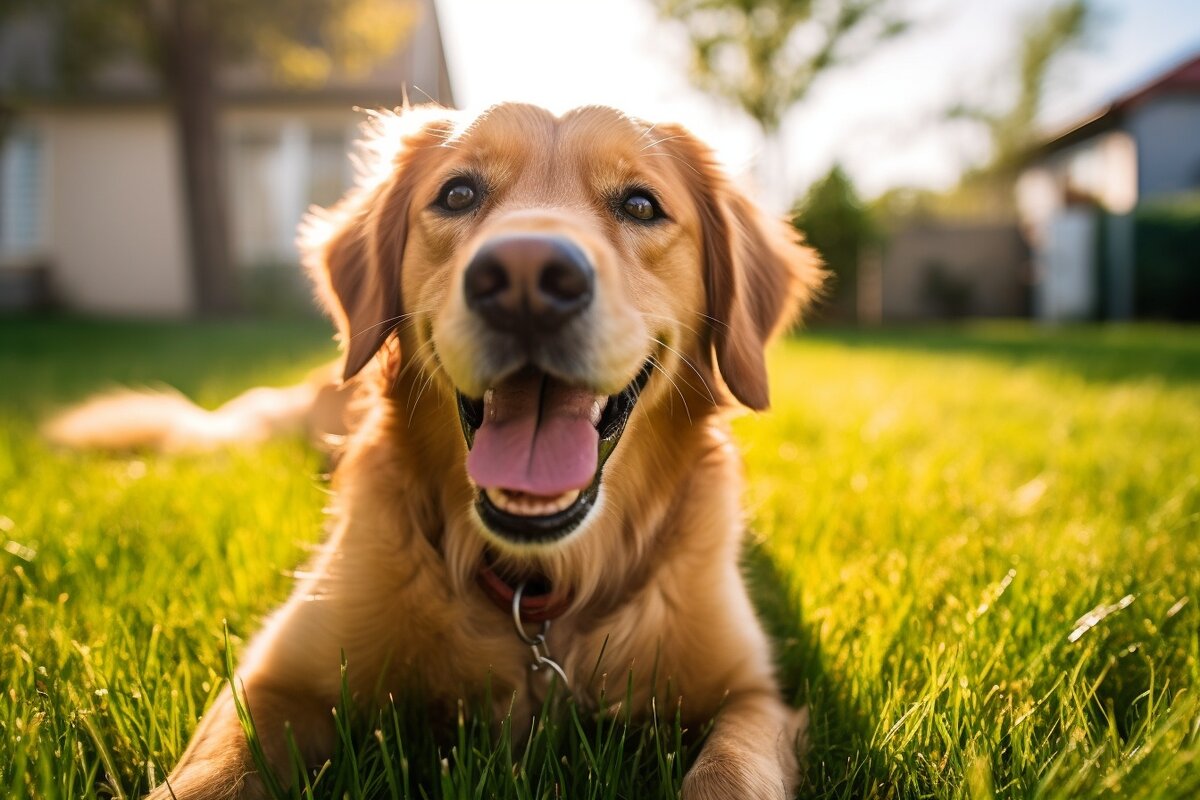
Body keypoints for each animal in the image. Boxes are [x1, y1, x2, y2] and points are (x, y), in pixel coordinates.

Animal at [51, 103, 820, 796]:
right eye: (458, 194)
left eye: (639, 204)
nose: (526, 277)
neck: (537, 595)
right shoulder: (271, 679)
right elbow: (211, 774)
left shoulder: (753, 696)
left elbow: (730, 772)